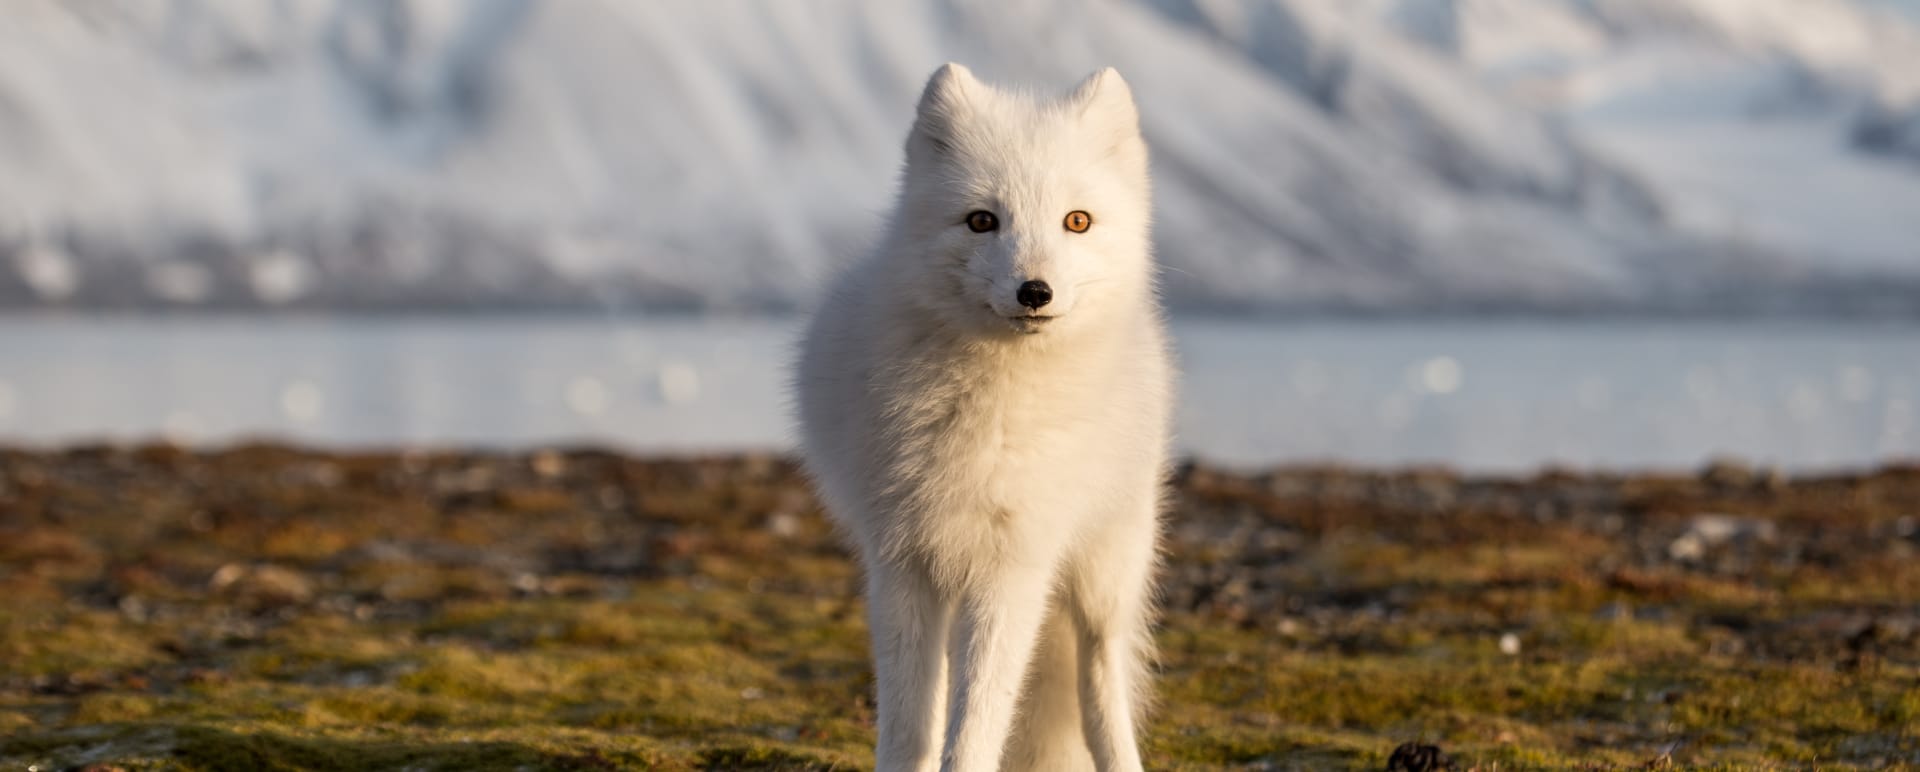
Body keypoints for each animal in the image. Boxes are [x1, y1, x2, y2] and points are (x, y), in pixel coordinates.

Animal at [792, 63, 1173, 772]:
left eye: (1076, 221)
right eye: (981, 220)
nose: (1035, 292)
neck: (984, 414)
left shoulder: (1013, 569)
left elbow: (975, 728)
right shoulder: (902, 562)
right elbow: (910, 725)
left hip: (1104, 571)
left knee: (1101, 681)